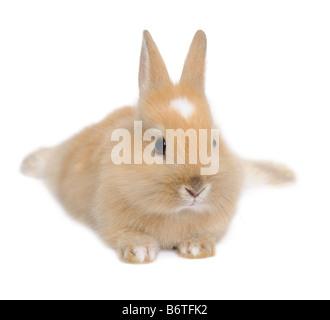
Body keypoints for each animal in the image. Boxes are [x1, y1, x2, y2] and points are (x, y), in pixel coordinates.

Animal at [21, 31, 294, 264]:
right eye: (160, 145)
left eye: (214, 142)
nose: (196, 189)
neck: (175, 213)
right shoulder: (113, 221)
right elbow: (127, 235)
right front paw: (140, 252)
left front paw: (197, 248)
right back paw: (30, 163)